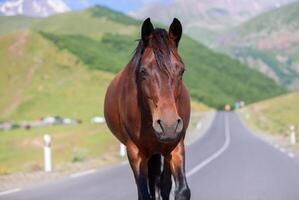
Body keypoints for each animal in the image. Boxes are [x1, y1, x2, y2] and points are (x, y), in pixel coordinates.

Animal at [104, 18, 191, 199]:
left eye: (181, 70)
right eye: (143, 71)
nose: (168, 125)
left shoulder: (176, 146)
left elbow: (180, 190)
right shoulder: (135, 152)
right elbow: (144, 193)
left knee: (161, 183)